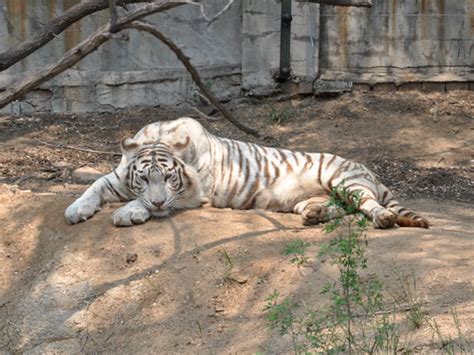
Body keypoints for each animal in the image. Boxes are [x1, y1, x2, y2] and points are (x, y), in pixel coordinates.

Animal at [65, 117, 430, 228]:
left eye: (168, 178)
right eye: (142, 177)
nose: (156, 202)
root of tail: (370, 171)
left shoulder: (193, 193)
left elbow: (148, 203)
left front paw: (129, 212)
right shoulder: (117, 176)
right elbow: (93, 186)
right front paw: (75, 210)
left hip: (343, 179)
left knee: (367, 204)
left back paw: (383, 218)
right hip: (315, 196)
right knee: (344, 208)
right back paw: (314, 214)